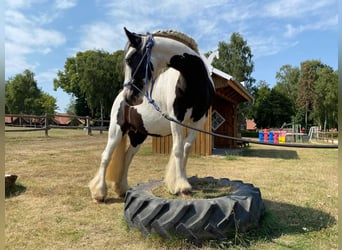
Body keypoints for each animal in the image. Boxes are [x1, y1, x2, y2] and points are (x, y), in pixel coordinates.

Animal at [89, 27, 215, 203]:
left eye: (129, 59)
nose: (129, 97)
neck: (194, 81)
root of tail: (119, 98)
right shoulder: (176, 118)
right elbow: (178, 149)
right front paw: (181, 186)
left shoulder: (199, 119)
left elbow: (186, 148)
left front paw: (181, 183)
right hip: (116, 130)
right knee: (106, 156)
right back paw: (99, 193)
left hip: (138, 135)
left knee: (127, 158)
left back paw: (122, 189)